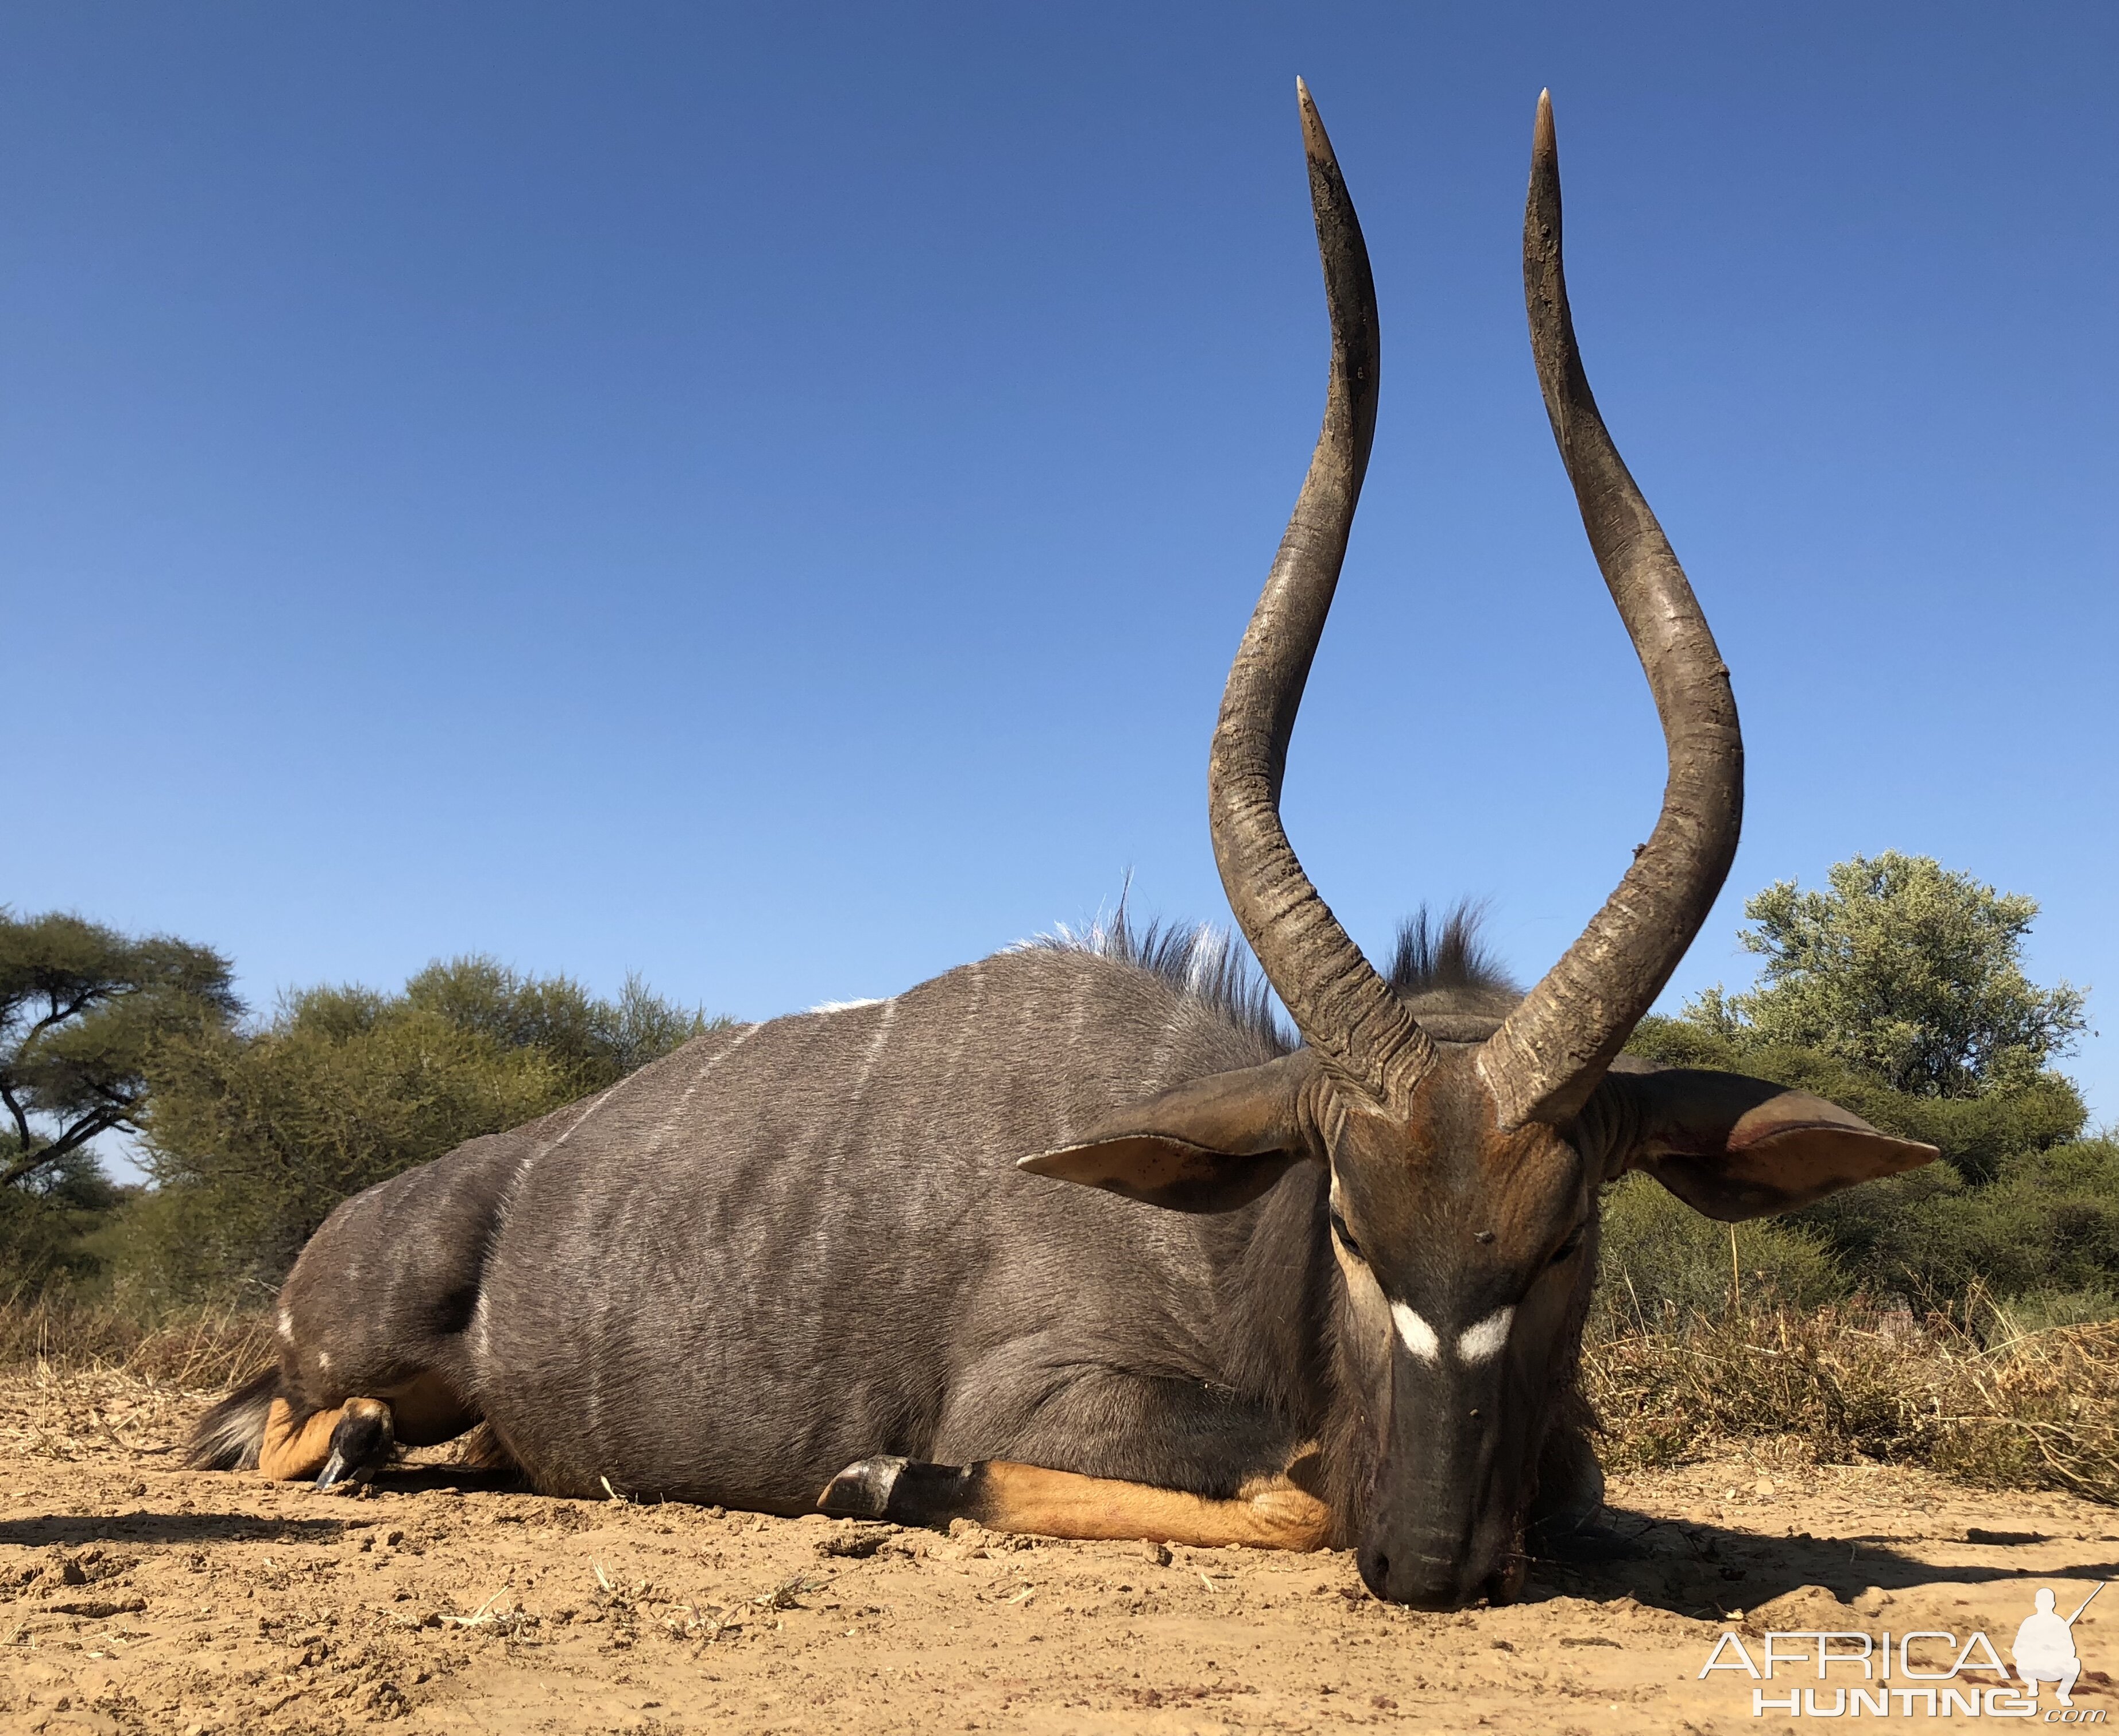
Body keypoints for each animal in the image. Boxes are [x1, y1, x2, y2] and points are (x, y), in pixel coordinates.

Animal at [199, 88, 1940, 1619]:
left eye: (1566, 1234)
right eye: (1344, 1223)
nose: (1434, 1560)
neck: (1227, 1242)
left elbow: (1566, 1485)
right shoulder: (1052, 1394)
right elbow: (1284, 1482)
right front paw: (885, 1478)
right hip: (348, 1358)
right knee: (271, 1433)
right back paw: (362, 1444)